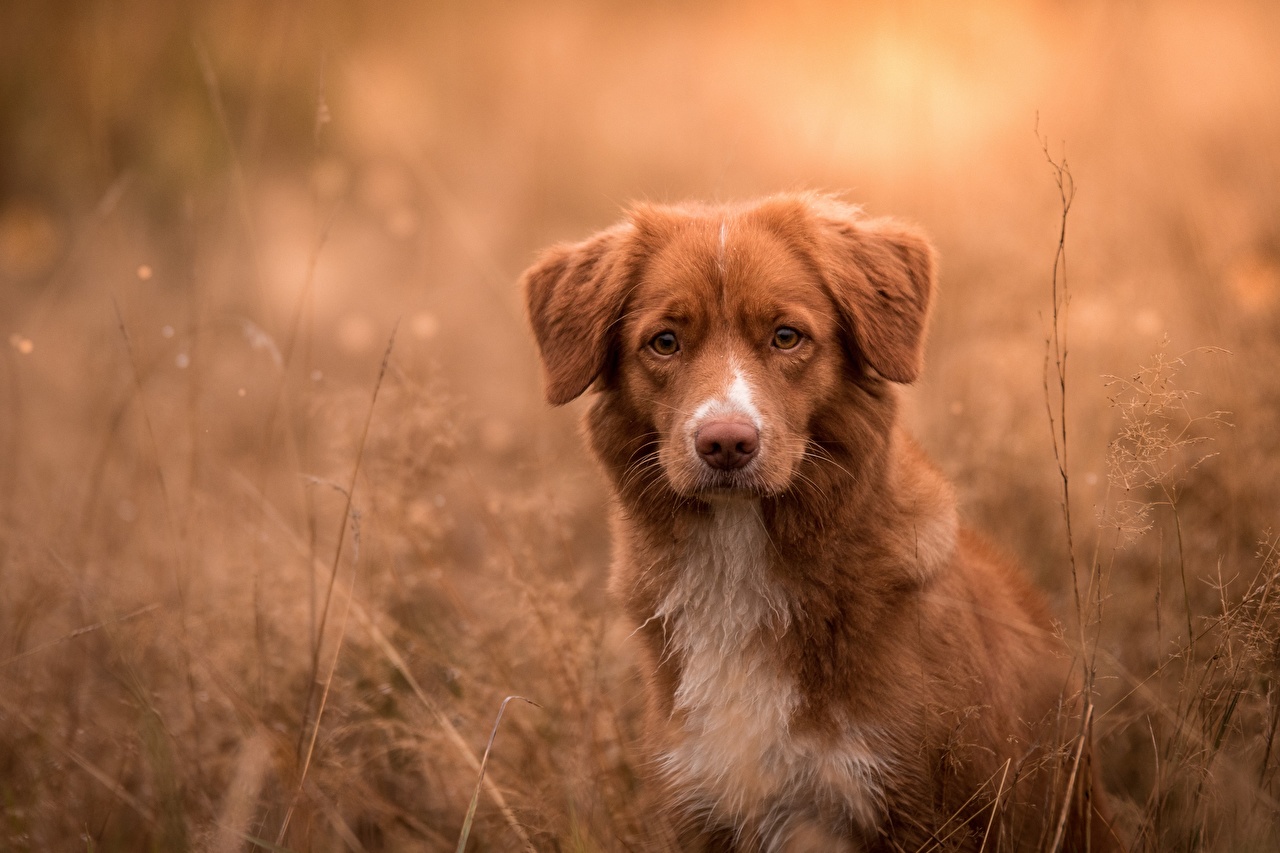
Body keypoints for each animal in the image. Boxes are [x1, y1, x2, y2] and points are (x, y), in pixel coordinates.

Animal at [522, 195, 1121, 845]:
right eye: (664, 342)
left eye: (787, 337)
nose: (726, 444)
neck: (740, 559)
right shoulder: (700, 803)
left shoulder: (924, 809)